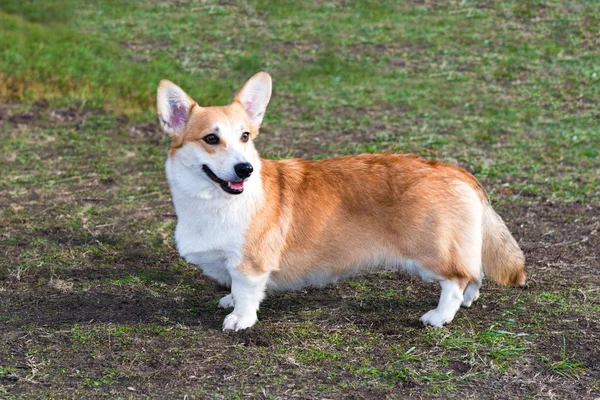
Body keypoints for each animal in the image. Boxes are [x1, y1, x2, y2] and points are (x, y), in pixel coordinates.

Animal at [156, 72, 524, 332]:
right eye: (211, 138)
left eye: (245, 136)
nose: (244, 169)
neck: (213, 201)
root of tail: (453, 170)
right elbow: (234, 287)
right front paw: (228, 300)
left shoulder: (251, 264)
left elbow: (246, 292)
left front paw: (239, 319)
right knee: (475, 273)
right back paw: (467, 302)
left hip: (432, 251)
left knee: (457, 279)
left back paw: (438, 316)